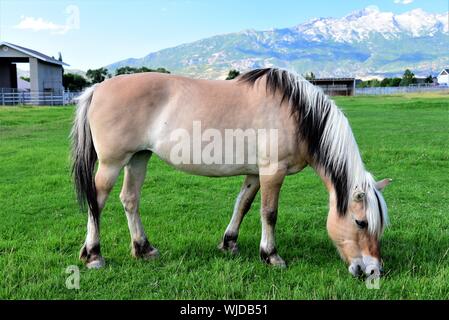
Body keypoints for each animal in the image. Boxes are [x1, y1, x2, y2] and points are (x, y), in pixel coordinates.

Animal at [70, 68, 388, 278]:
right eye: (360, 222)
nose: (373, 270)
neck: (298, 113)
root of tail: (96, 89)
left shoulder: (255, 174)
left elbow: (243, 205)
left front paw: (229, 243)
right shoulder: (272, 172)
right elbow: (269, 213)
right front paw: (271, 255)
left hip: (138, 158)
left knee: (130, 200)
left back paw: (143, 249)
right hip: (112, 163)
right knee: (97, 202)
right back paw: (93, 254)